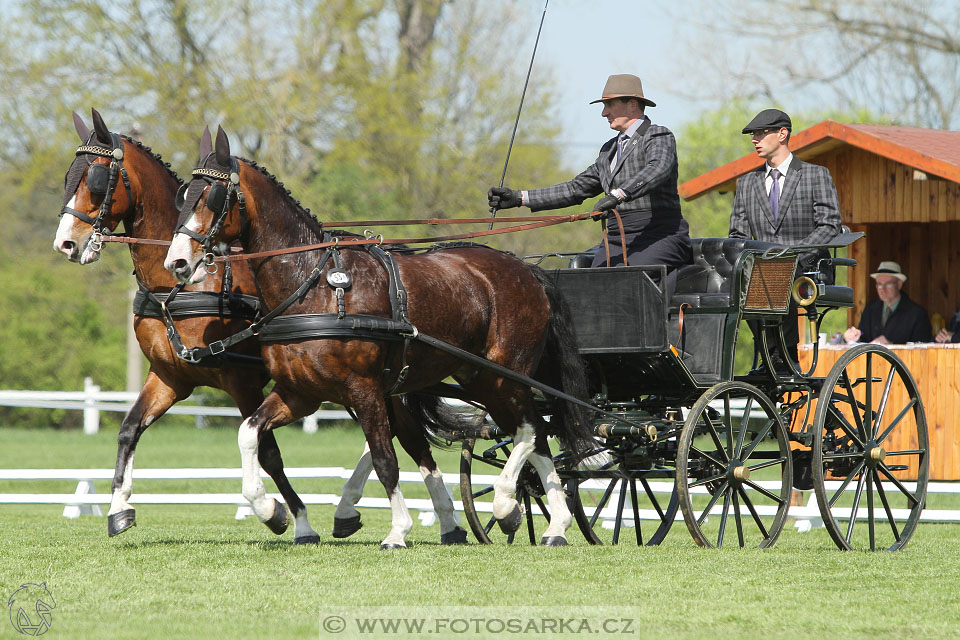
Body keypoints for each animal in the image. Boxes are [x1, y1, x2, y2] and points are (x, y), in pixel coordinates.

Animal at [166, 127, 596, 548]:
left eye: (211, 196)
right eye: (182, 196)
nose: (177, 262)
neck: (314, 286)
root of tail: (526, 270)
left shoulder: (364, 388)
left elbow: (385, 458)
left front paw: (398, 531)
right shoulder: (300, 392)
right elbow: (249, 433)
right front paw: (269, 509)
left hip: (503, 375)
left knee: (529, 430)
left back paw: (510, 505)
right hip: (478, 377)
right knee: (535, 436)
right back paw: (553, 525)